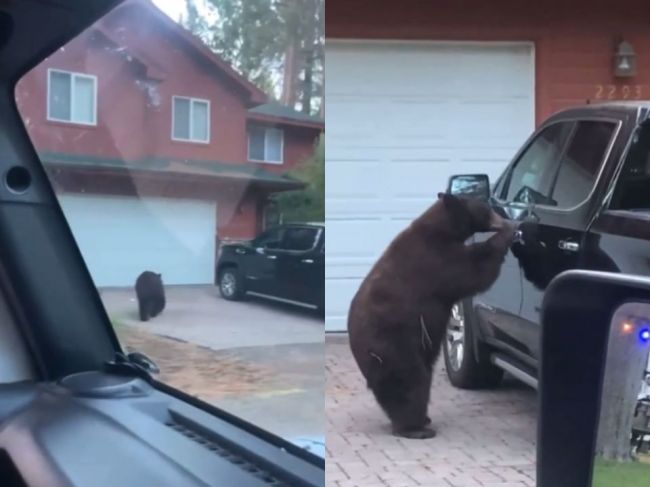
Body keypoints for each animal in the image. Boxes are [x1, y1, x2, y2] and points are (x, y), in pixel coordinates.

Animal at [346, 194, 512, 442]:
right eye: (487, 210)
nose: (505, 220)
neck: (442, 229)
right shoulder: (434, 260)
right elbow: (472, 270)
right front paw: (507, 235)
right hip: (393, 345)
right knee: (410, 381)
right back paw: (415, 427)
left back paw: (420, 420)